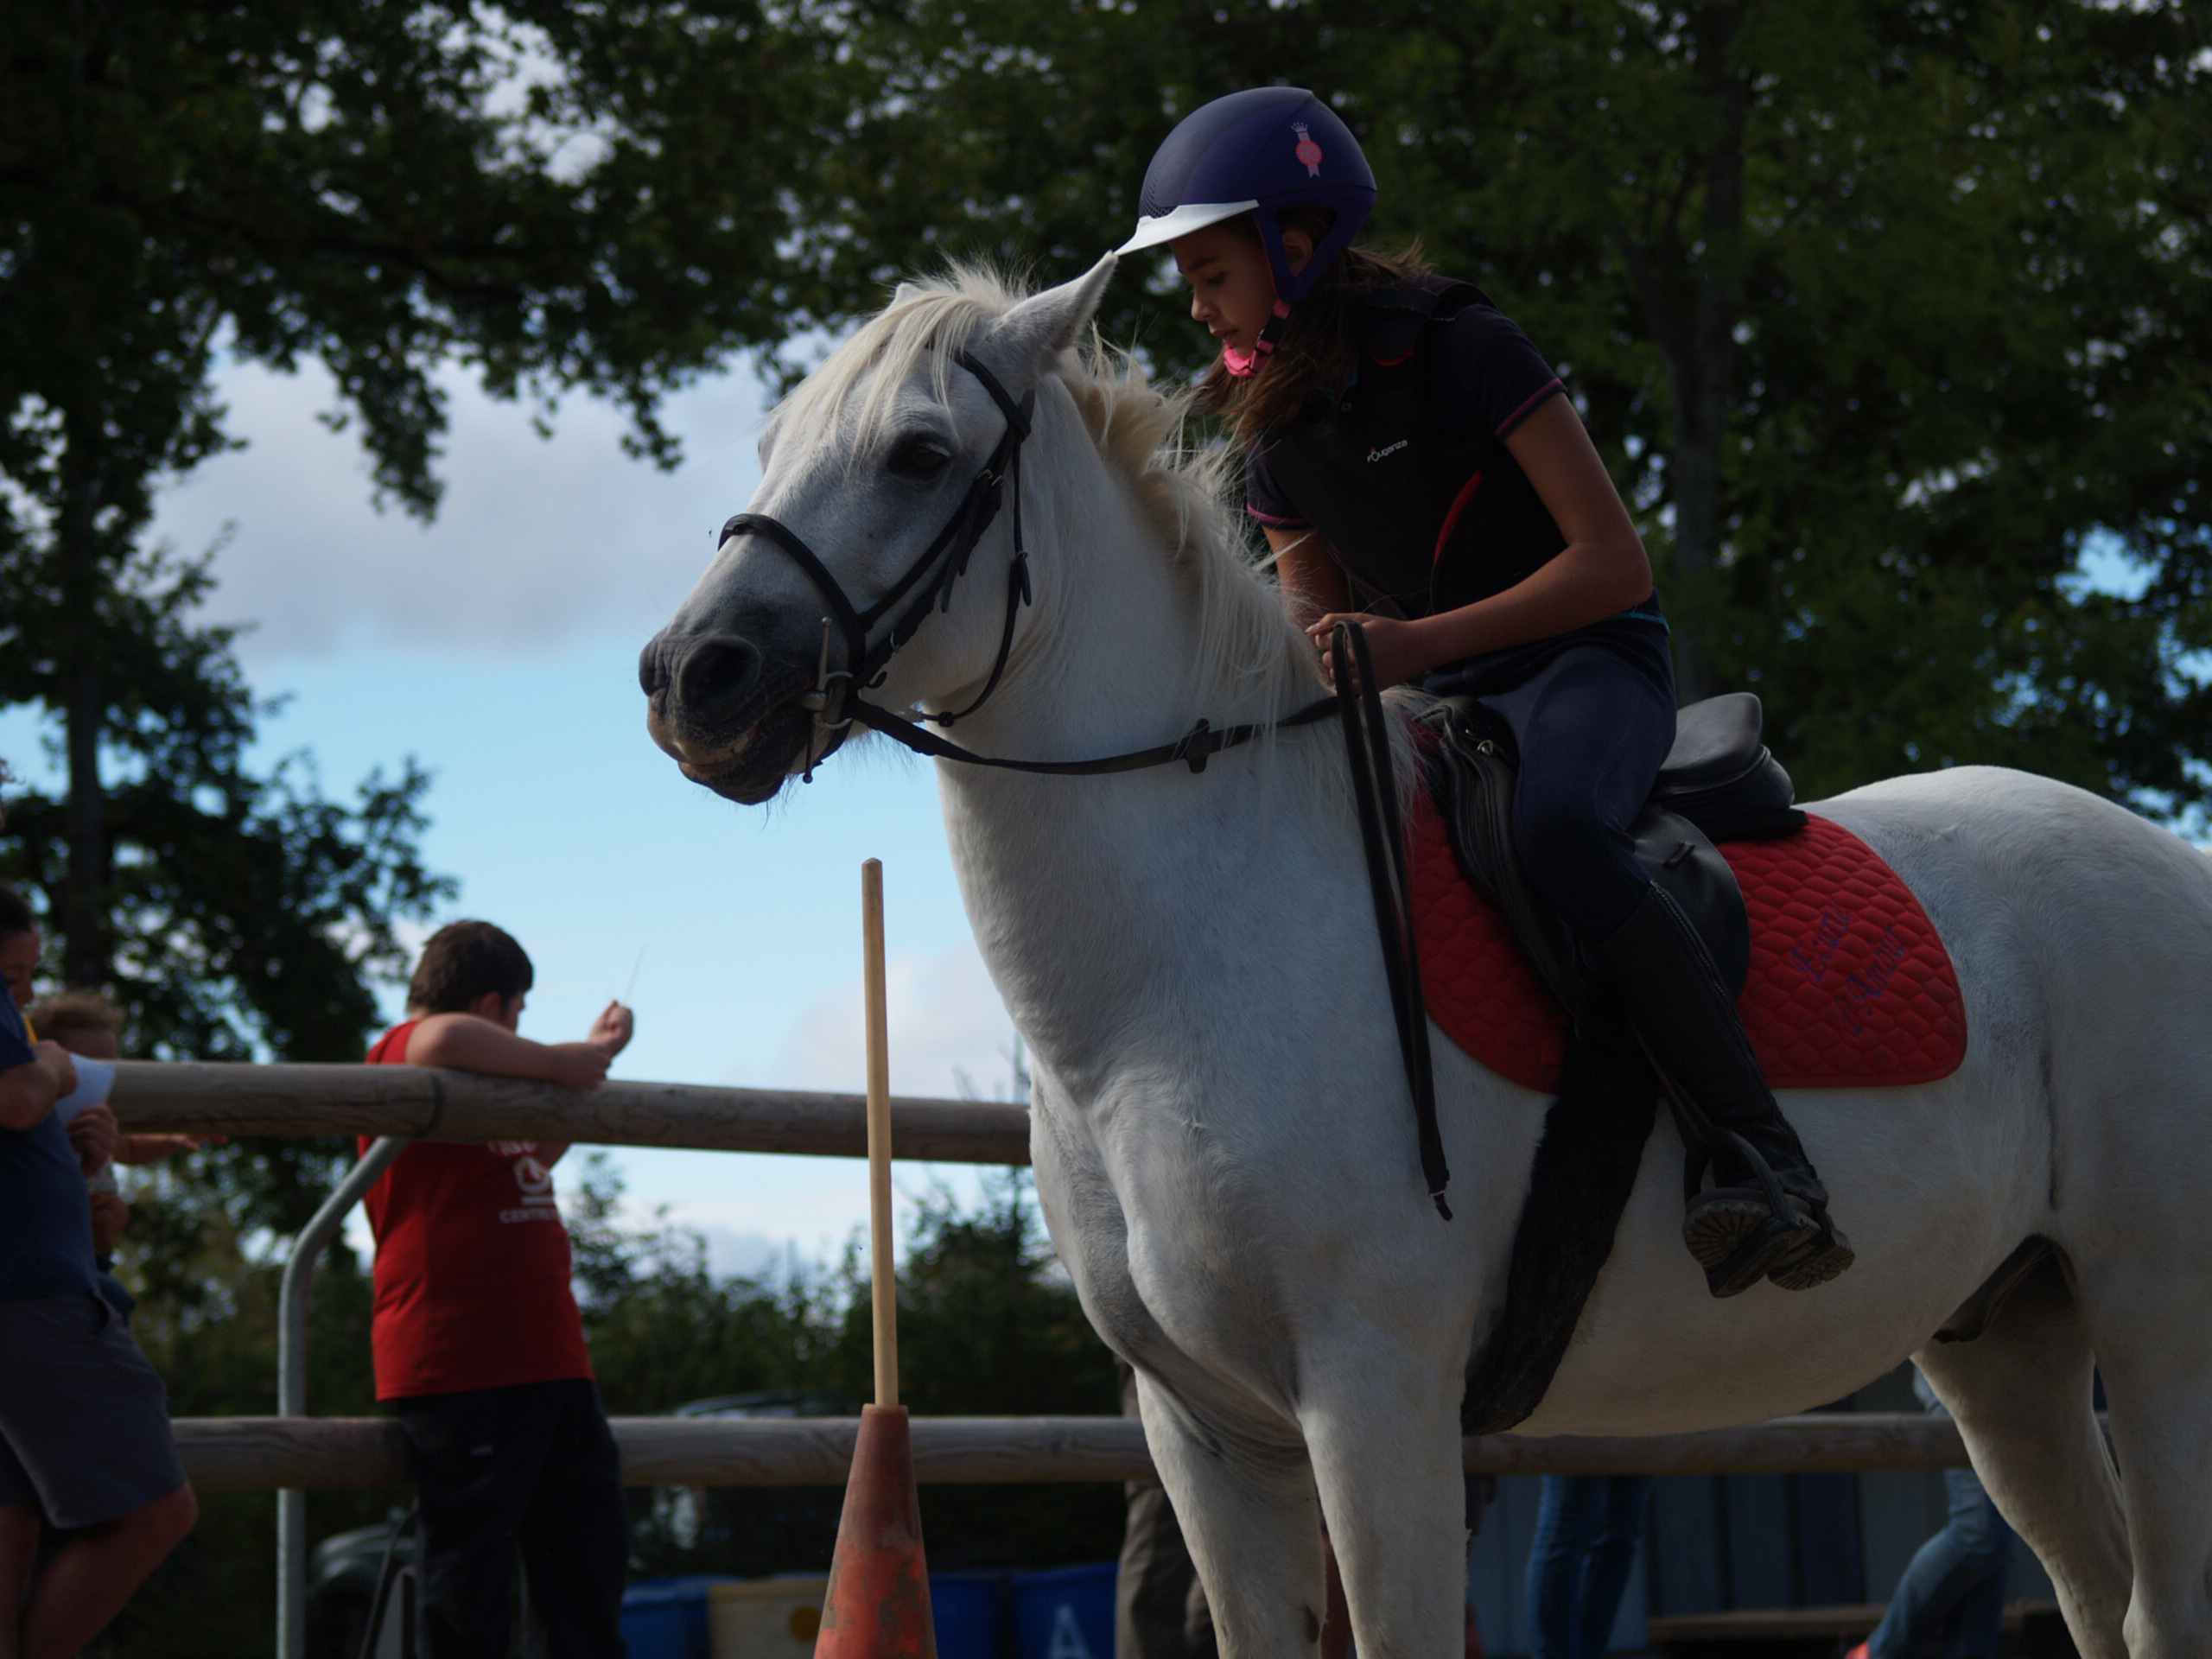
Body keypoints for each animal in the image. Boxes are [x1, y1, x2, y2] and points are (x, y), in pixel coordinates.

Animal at [641, 259, 2212, 1659]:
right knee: (2098, 1599)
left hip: (2153, 1316)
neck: (1179, 974)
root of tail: (2169, 865)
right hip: (2005, 1341)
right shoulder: (1208, 1438)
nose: (691, 679)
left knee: (2159, 1607)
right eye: (773, 446)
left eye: (920, 453)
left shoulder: (1373, 1400)